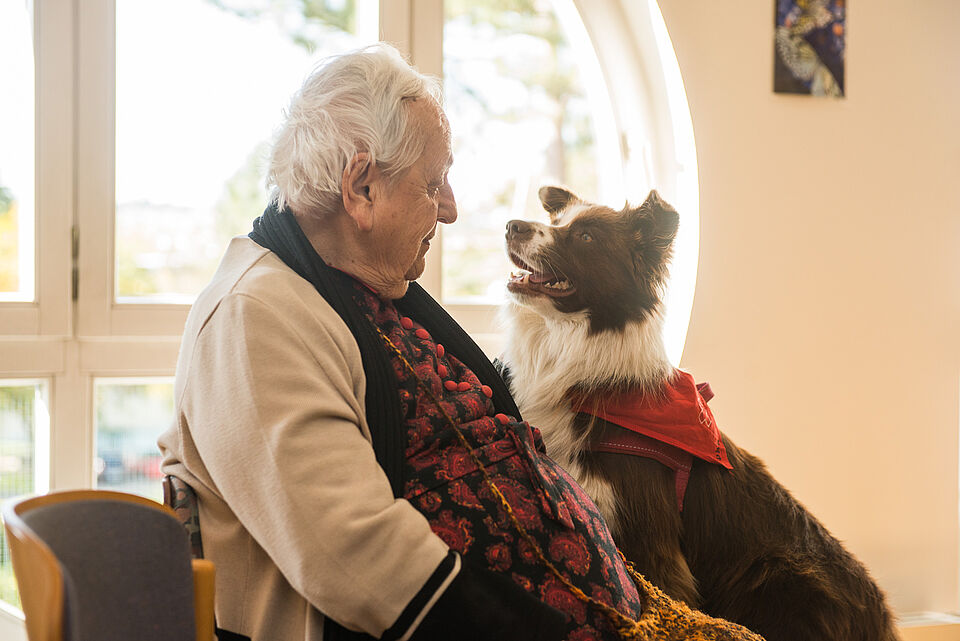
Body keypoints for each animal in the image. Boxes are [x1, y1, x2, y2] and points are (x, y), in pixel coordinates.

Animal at [498, 186, 904, 640]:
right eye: (557, 221)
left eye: (586, 237)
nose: (512, 226)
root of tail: (882, 620)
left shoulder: (648, 537)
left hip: (778, 571)